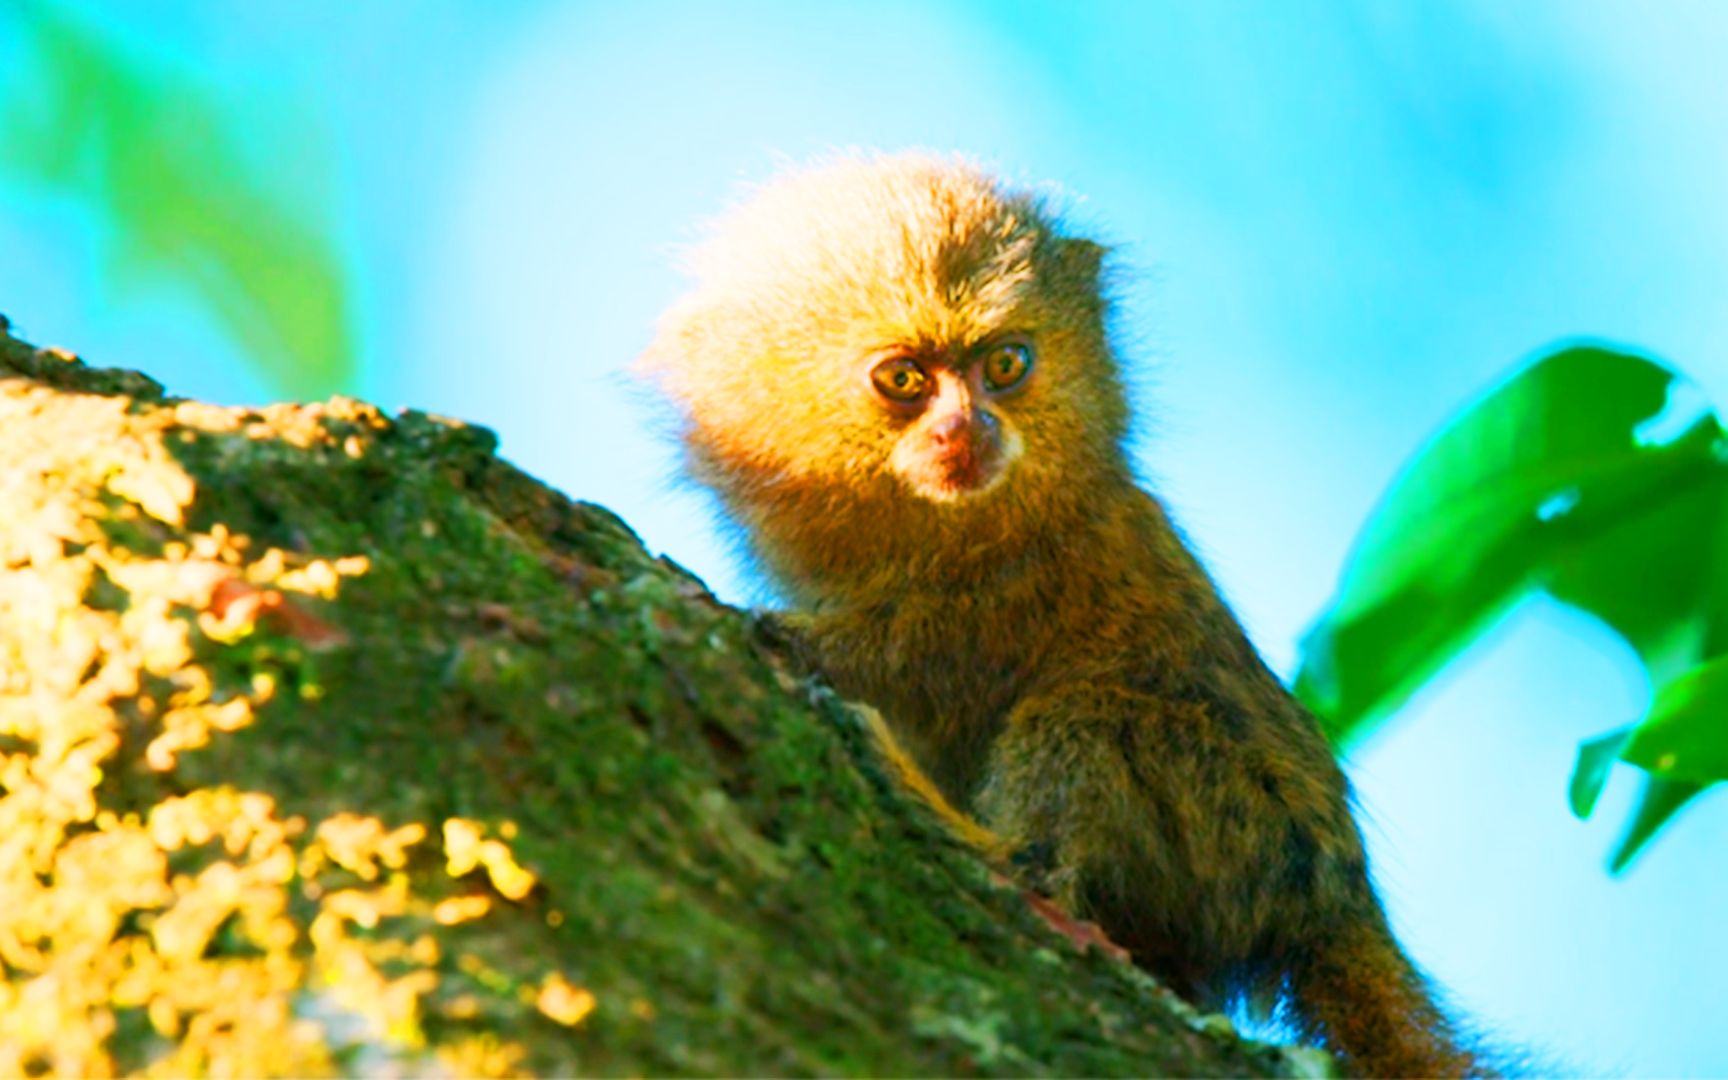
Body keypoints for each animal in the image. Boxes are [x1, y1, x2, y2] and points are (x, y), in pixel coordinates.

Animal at [635, 155, 1486, 1071]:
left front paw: (780, 637)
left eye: (1005, 364)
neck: (946, 532)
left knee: (1075, 738)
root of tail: (1333, 897)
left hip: (1236, 813)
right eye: (905, 379)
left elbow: (913, 662)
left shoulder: (1027, 582)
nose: (967, 428)